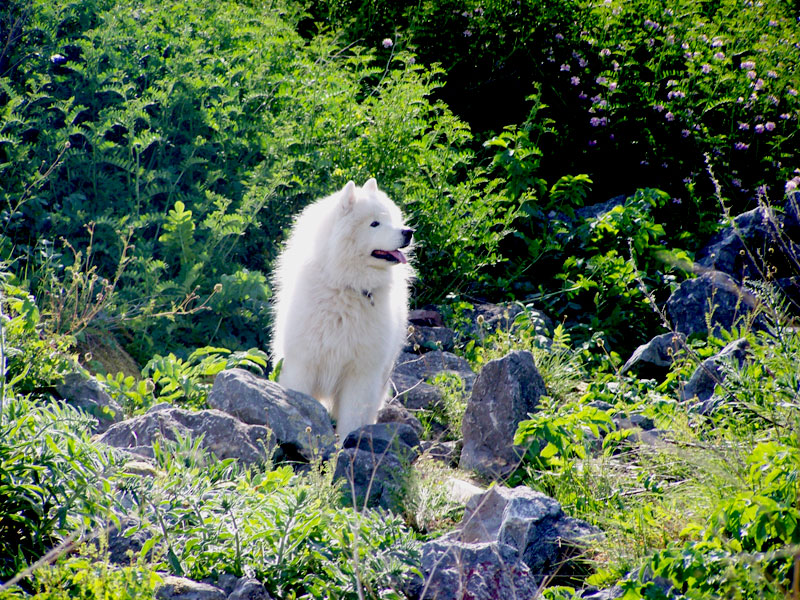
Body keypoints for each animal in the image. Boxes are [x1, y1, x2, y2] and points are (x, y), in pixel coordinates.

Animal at [272, 178, 416, 440]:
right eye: (374, 223)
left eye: (393, 219)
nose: (408, 232)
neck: (346, 287)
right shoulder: (302, 364)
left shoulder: (361, 374)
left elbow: (352, 419)